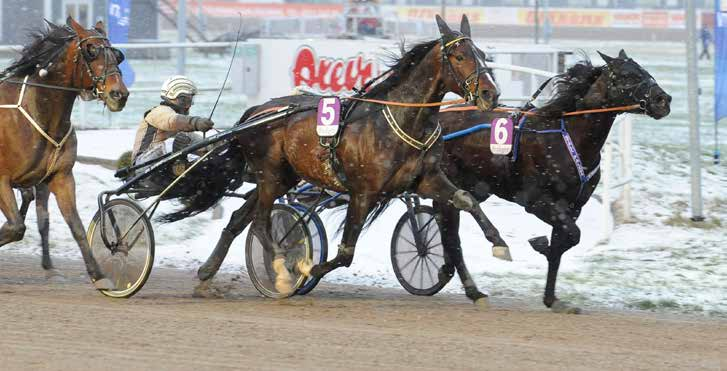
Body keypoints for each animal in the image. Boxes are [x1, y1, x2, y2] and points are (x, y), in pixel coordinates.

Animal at [0, 17, 129, 290]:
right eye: (91, 50)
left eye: (116, 54)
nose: (119, 94)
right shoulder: (1, 180)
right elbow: (16, 227)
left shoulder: (60, 177)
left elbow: (75, 225)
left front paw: (98, 274)